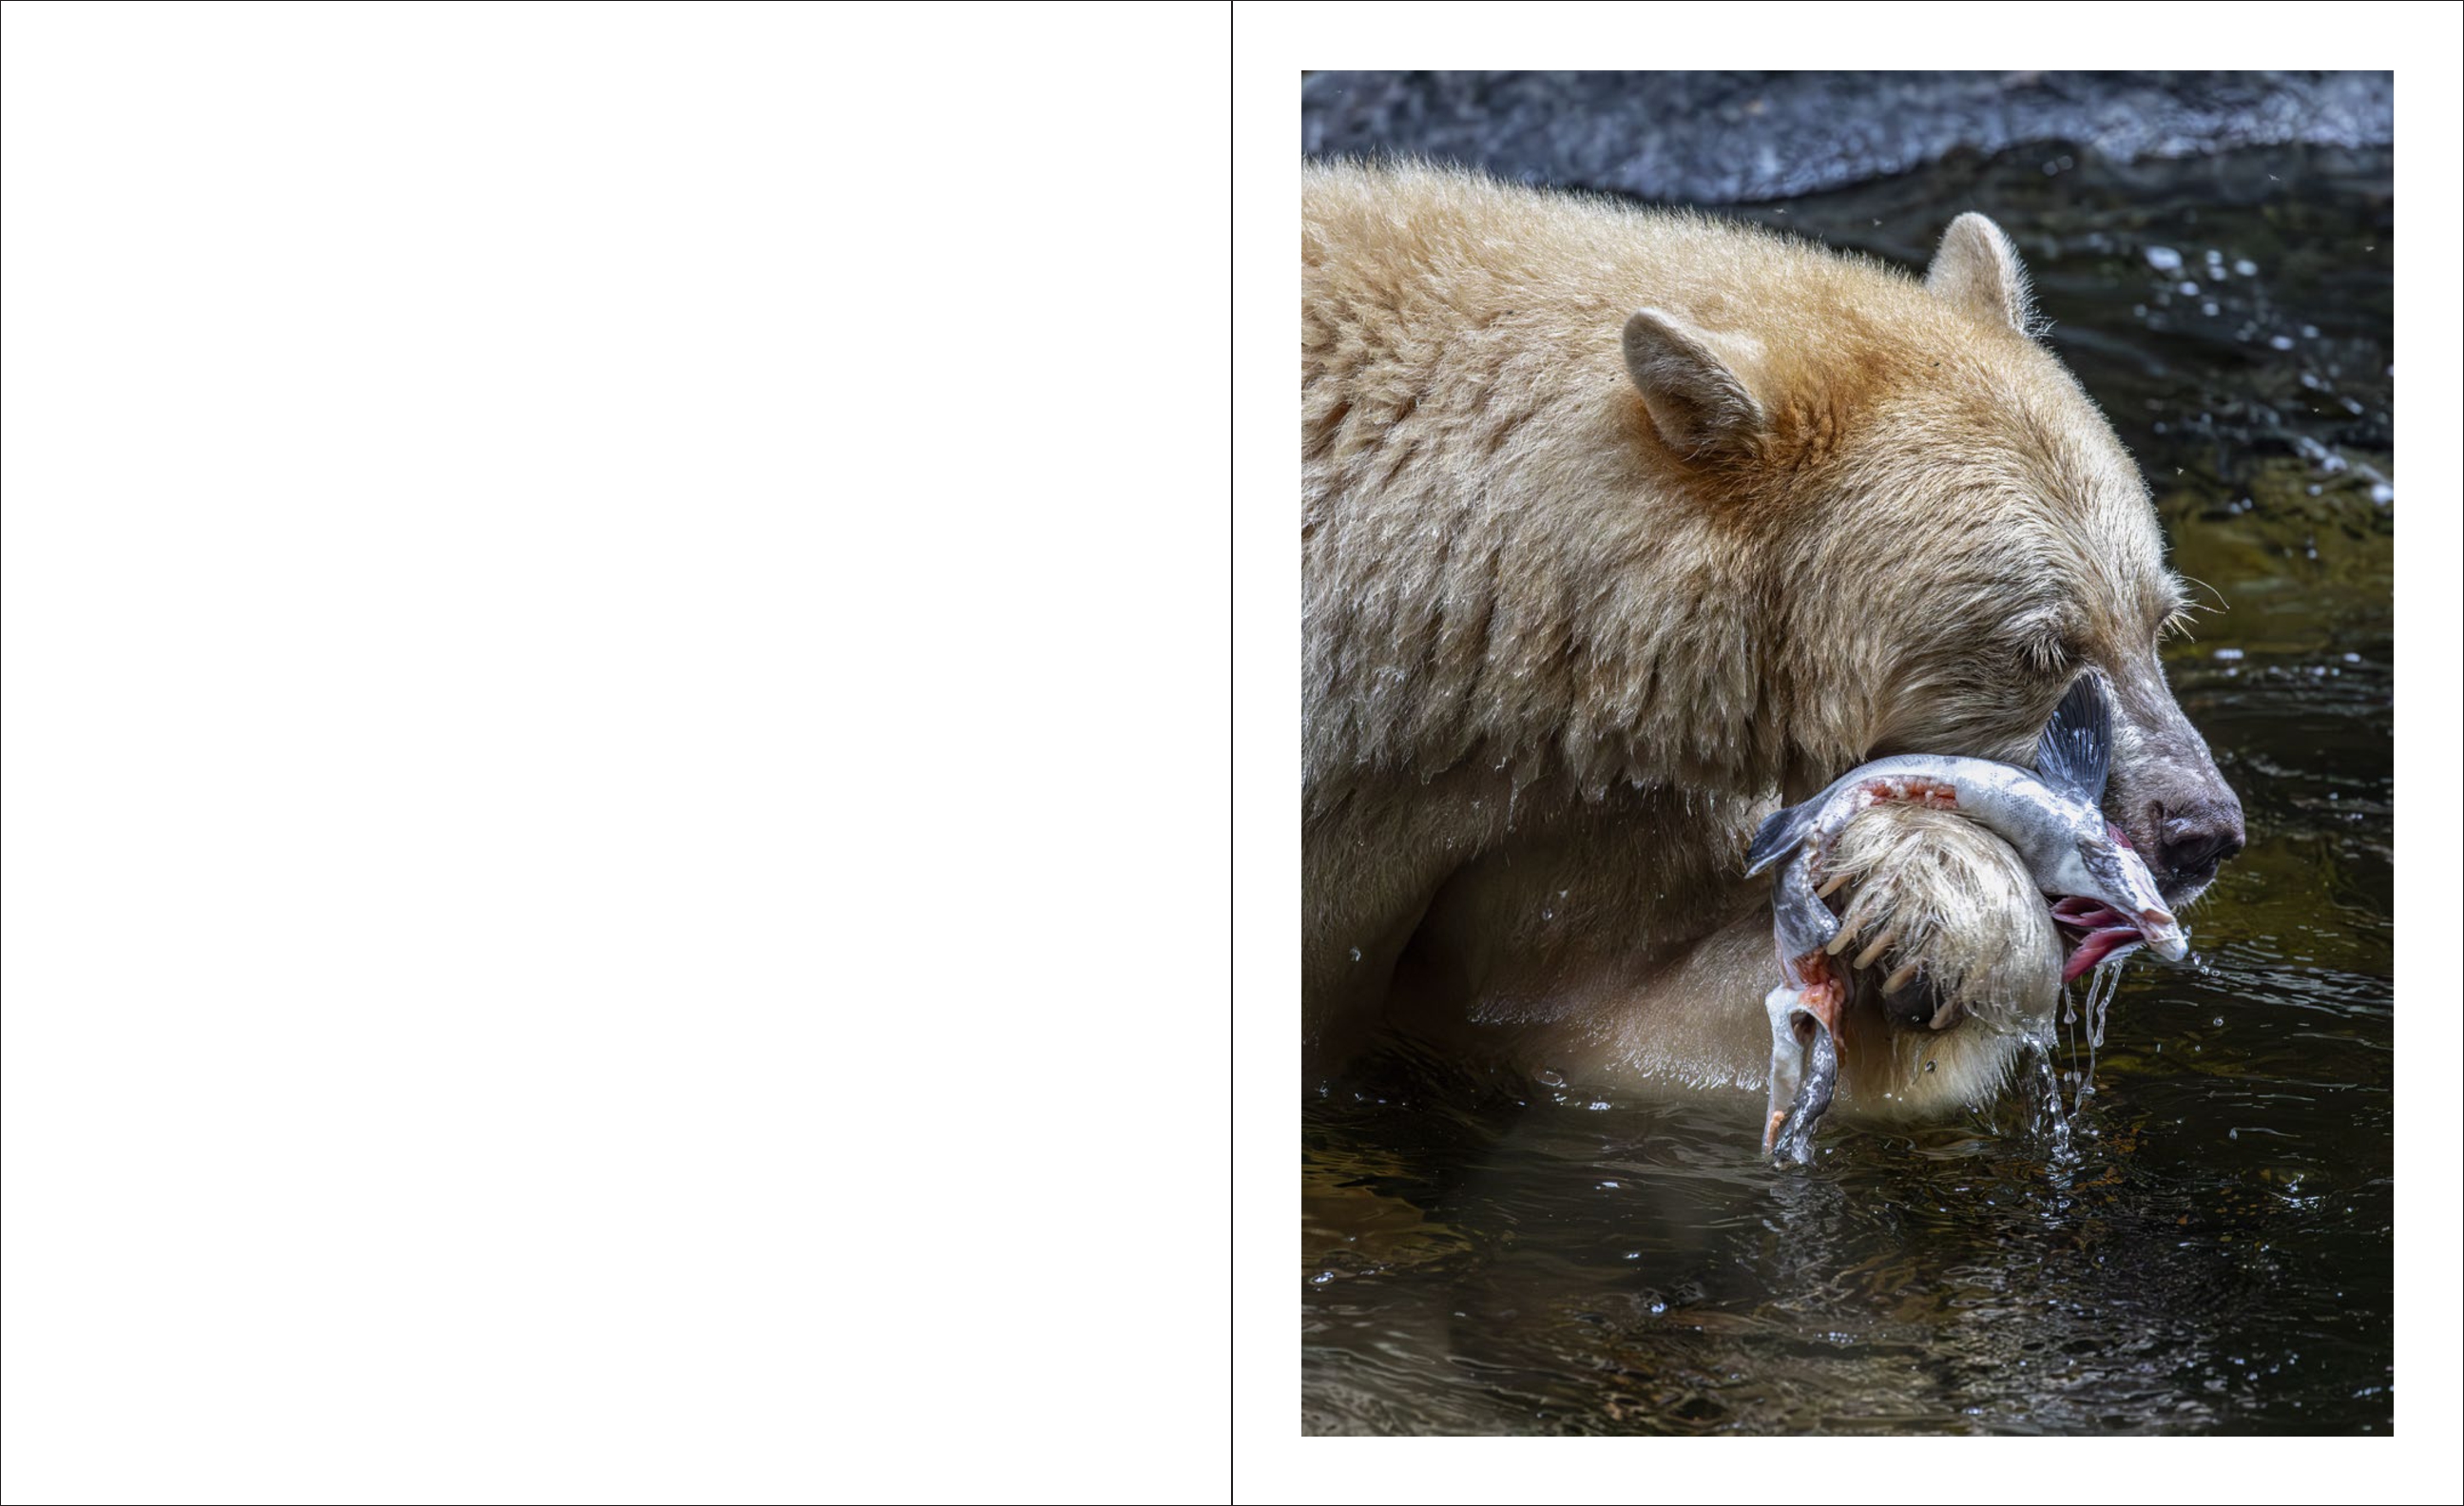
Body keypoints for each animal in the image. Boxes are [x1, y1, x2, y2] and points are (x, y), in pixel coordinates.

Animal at [1301, 161, 2244, 1120]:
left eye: (2160, 620)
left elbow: (1608, 1018)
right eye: (2044, 649)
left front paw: (1915, 914)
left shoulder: (1562, 804)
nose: (2201, 830)